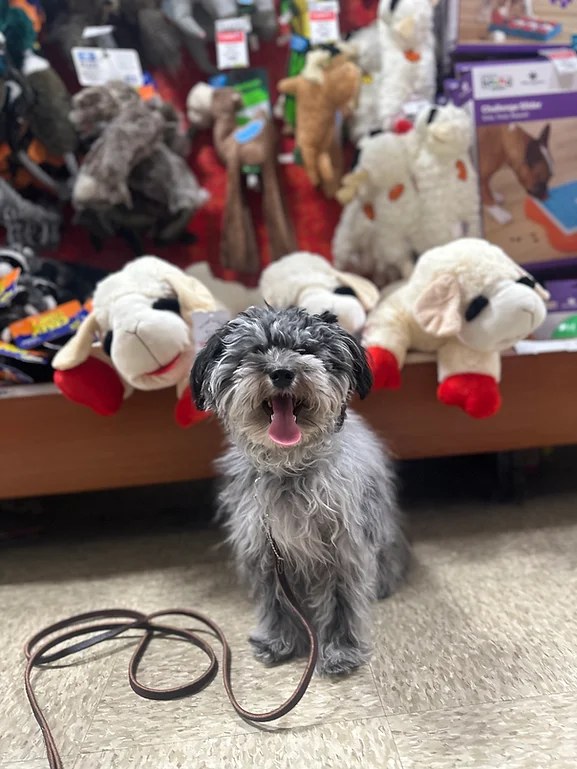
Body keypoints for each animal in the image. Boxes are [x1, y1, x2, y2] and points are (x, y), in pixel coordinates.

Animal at [191, 304, 408, 676]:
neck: (289, 470)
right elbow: (276, 602)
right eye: (255, 351)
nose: (281, 372)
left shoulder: (342, 550)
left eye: (306, 350)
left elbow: (340, 605)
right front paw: (279, 642)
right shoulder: (267, 551)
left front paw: (340, 651)